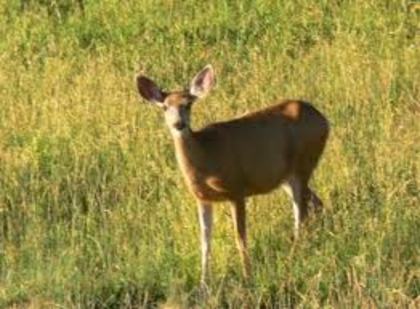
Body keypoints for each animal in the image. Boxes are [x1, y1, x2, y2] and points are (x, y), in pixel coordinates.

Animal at [136, 65, 330, 284]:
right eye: (164, 107)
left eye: (188, 104)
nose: (179, 124)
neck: (206, 157)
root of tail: (324, 120)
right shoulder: (202, 198)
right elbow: (205, 243)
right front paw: (204, 284)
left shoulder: (237, 189)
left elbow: (240, 238)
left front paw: (248, 277)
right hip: (286, 177)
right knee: (316, 203)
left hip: (302, 165)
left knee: (301, 214)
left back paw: (292, 258)